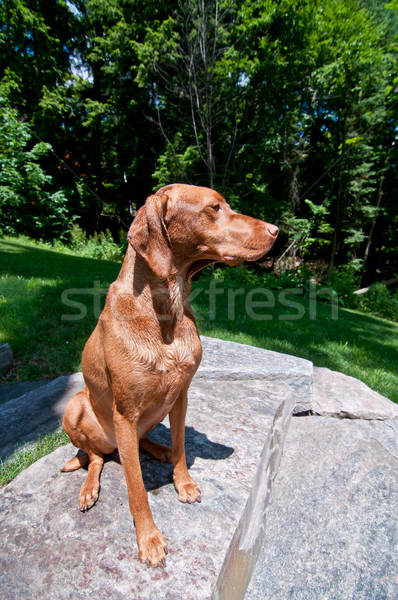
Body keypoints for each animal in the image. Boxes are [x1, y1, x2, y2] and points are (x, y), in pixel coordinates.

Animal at [63, 183, 280, 568]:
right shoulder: (125, 413)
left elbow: (181, 446)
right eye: (214, 208)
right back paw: (89, 488)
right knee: (97, 457)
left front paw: (184, 482)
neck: (166, 306)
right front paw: (149, 539)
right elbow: (136, 488)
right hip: (74, 407)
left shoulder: (181, 395)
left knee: (136, 444)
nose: (275, 230)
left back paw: (157, 449)